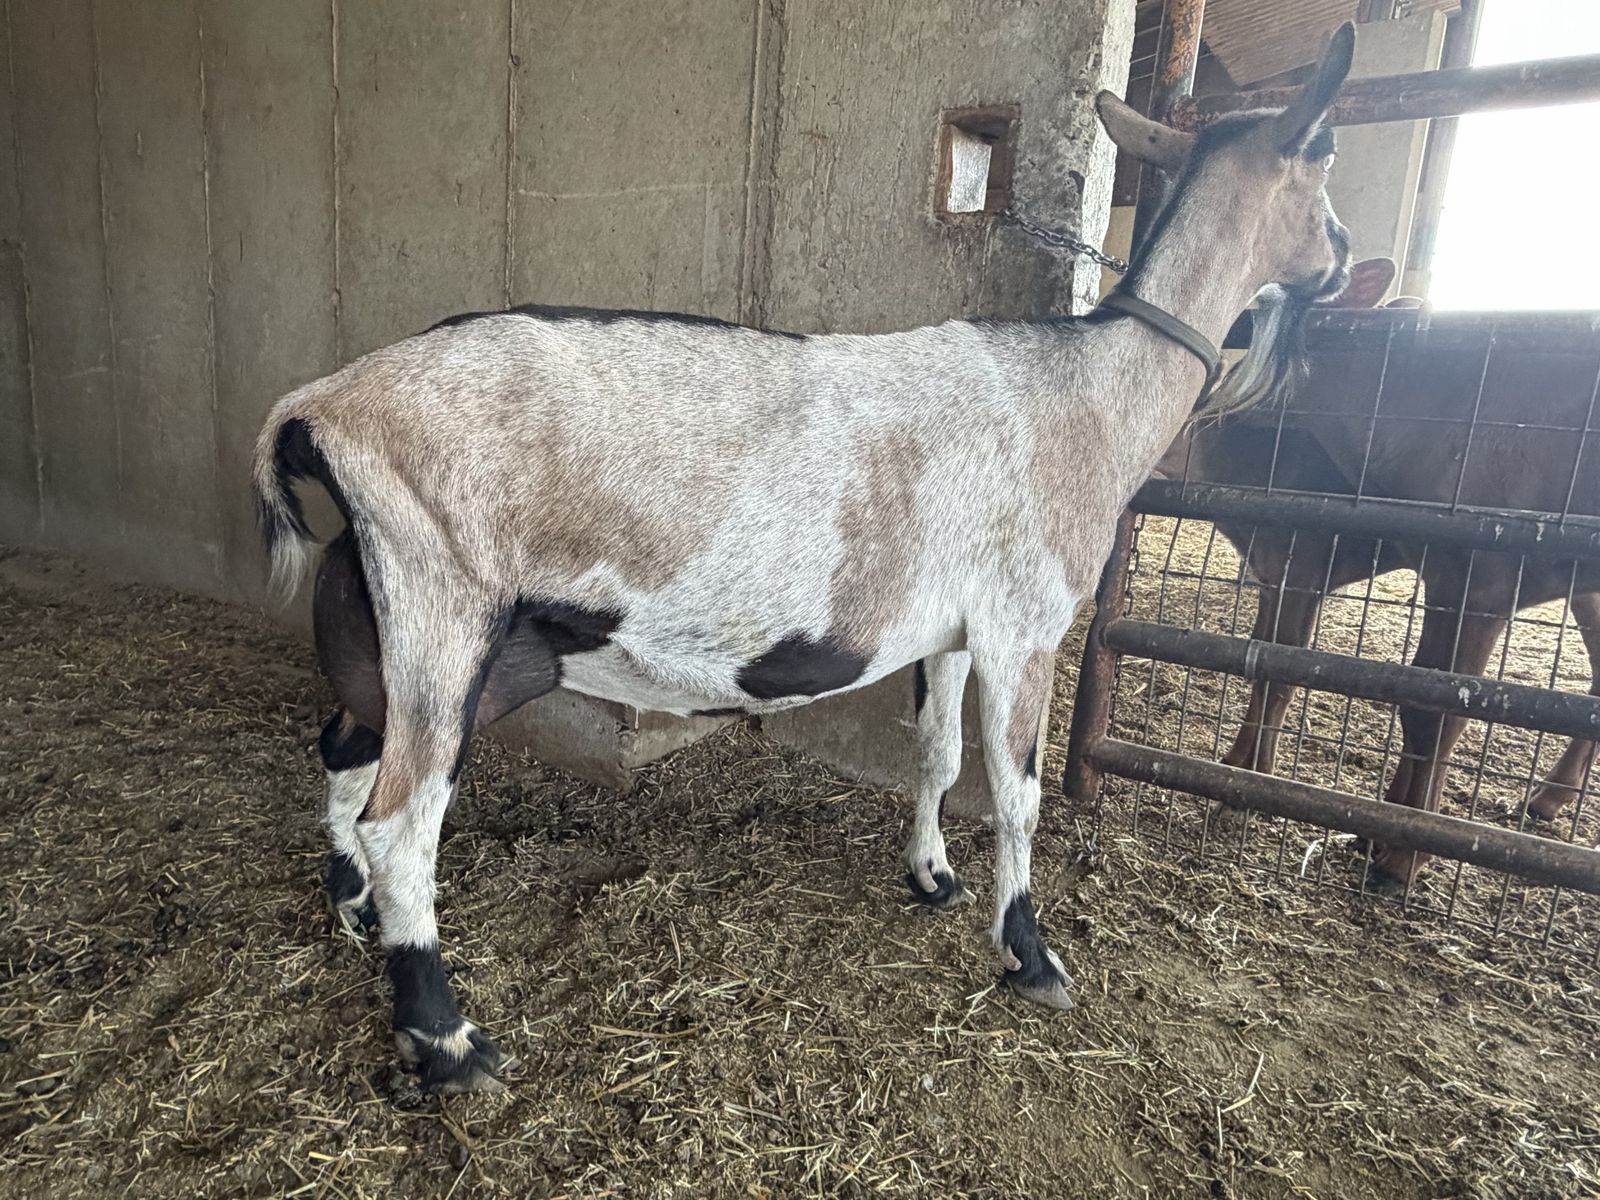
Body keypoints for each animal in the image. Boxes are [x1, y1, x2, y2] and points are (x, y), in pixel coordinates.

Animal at [250, 28, 1356, 1091]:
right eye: (1326, 163)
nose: (1347, 256)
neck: (1088, 389)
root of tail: (321, 406)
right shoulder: (1025, 623)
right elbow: (1017, 791)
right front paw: (1031, 956)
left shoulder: (950, 629)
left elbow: (936, 754)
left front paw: (930, 877)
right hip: (446, 610)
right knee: (404, 820)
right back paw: (448, 1043)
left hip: (401, 626)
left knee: (345, 746)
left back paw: (354, 909)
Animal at [1159, 277, 1600, 886]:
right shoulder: (1284, 572)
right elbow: (1274, 661)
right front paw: (1238, 769)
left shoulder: (1324, 563)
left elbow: (1422, 705)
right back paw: (1547, 798)